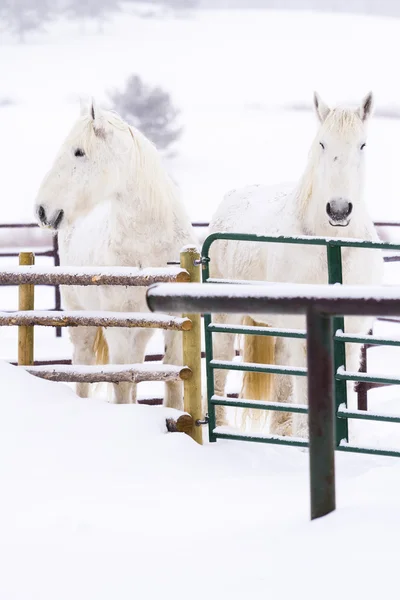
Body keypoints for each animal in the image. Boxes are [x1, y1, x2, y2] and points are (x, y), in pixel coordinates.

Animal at [34, 101, 197, 408]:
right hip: (82, 321)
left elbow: (173, 380)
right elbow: (120, 380)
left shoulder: (175, 321)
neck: (147, 251)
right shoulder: (118, 327)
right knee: (83, 368)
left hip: (141, 329)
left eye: (79, 151)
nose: (41, 210)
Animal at [208, 91, 382, 436]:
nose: (338, 210)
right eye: (322, 143)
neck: (330, 247)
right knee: (220, 365)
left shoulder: (350, 333)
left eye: (362, 145)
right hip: (225, 320)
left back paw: (282, 428)